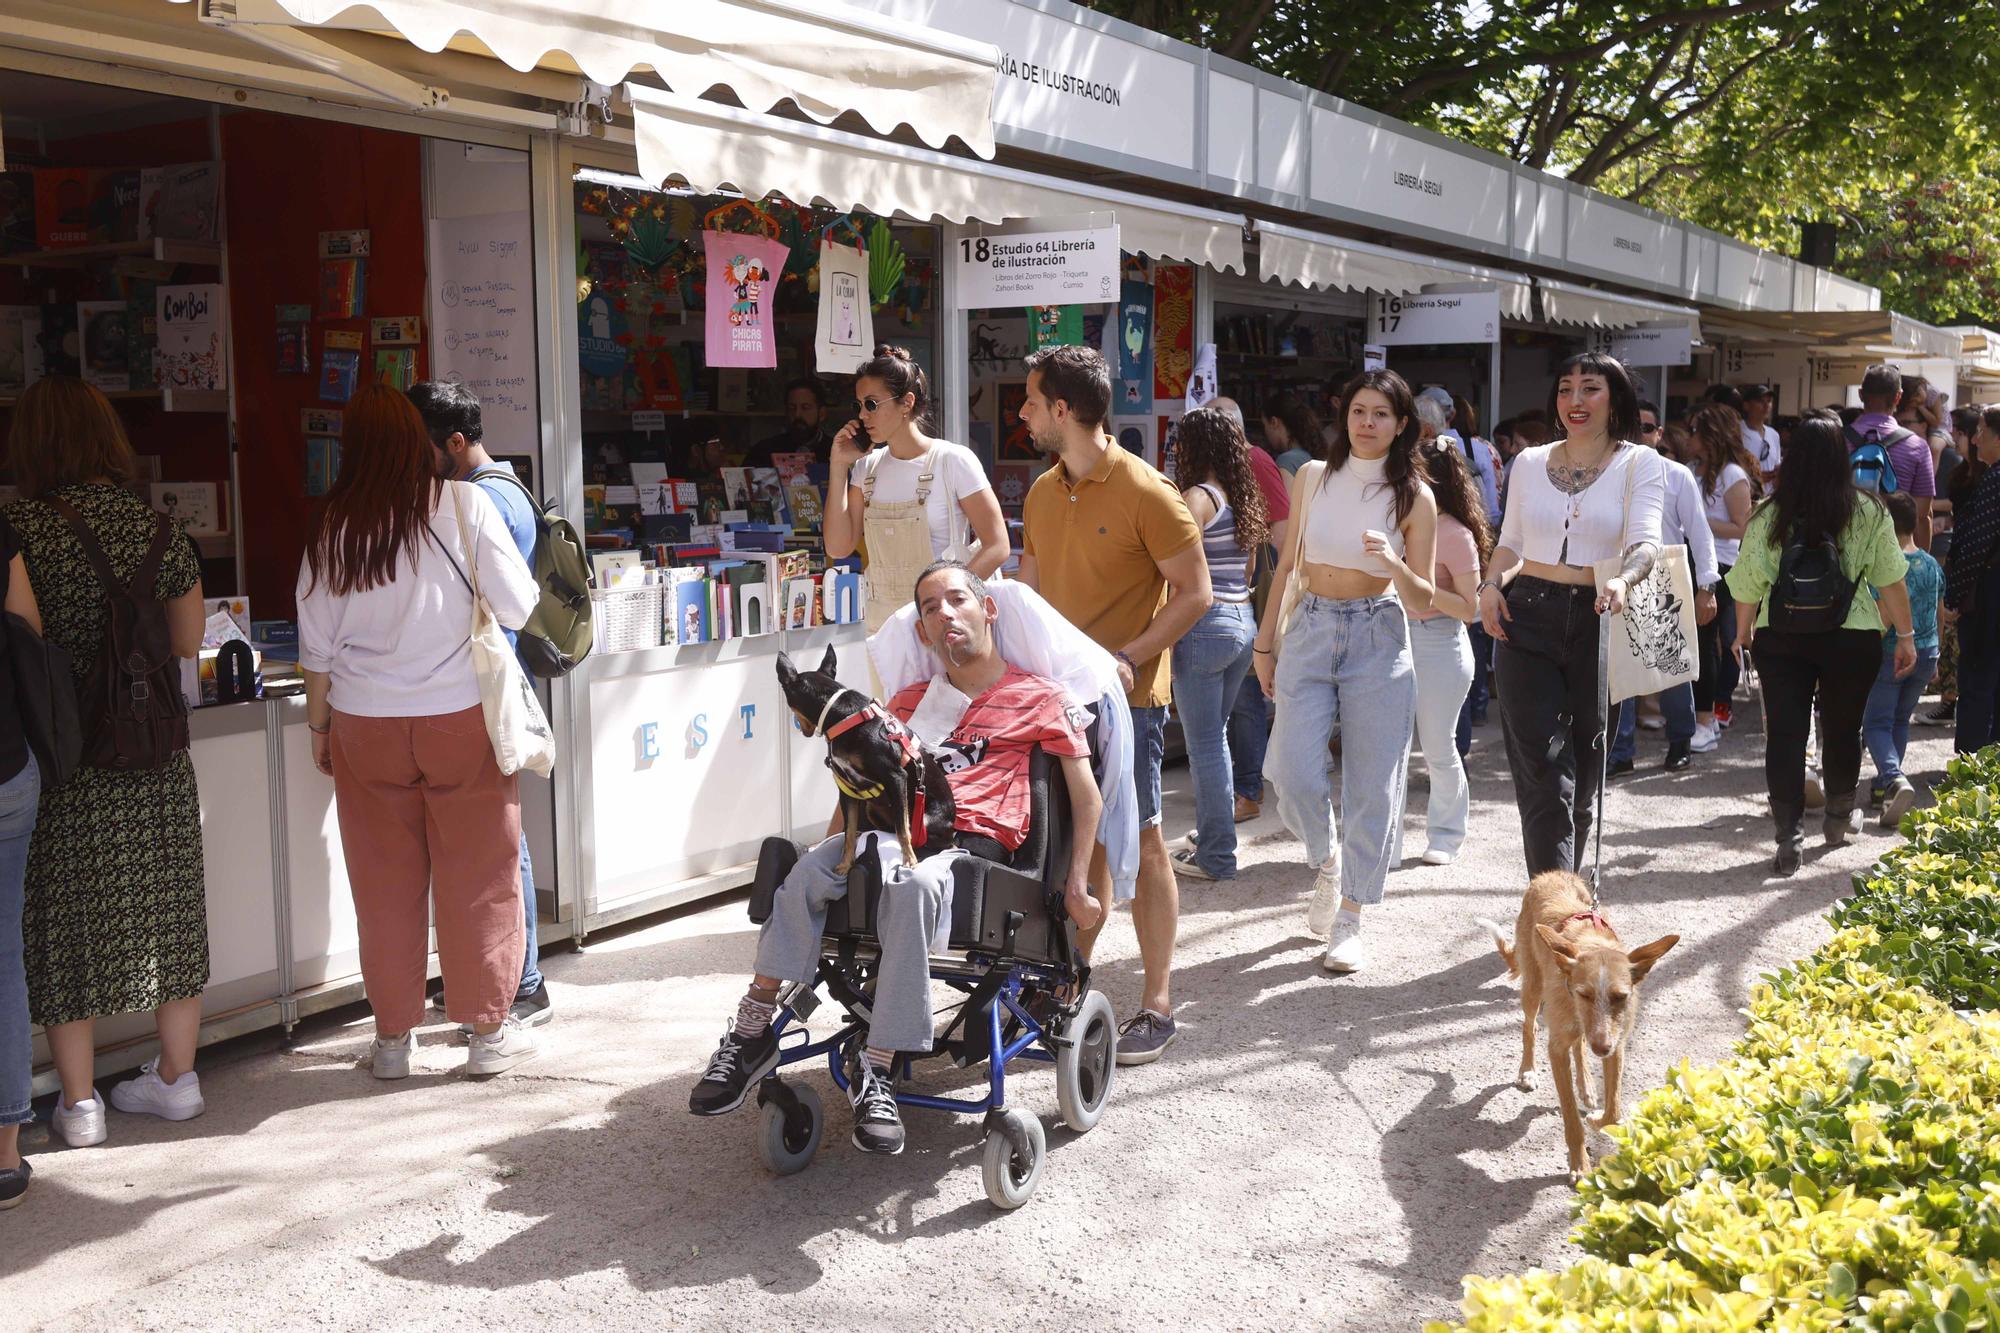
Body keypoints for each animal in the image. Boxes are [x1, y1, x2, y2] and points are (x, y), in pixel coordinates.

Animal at [772, 644, 952, 872]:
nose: (802, 730)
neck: (843, 716)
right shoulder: (847, 790)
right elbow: (848, 832)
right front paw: (845, 864)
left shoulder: (896, 777)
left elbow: (903, 829)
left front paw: (909, 861)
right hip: (872, 808)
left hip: (925, 820)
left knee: (924, 836)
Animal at [1480, 868, 1680, 1176]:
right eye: (1583, 994)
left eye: (1620, 996)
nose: (1602, 1048)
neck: (1591, 942)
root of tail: (1549, 874)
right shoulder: (1557, 1049)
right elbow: (1571, 1116)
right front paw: (1580, 1163)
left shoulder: (1616, 1044)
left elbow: (1614, 1111)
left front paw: (1597, 1118)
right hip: (1533, 987)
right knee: (1530, 1027)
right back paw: (1528, 1071)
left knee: (1579, 1045)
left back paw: (1585, 1085)